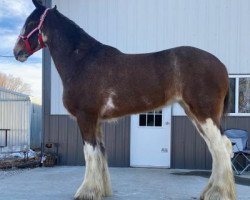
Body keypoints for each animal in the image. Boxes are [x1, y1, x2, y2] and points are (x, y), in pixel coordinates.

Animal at [14, 0, 236, 200]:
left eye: (31, 22)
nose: (17, 52)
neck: (83, 61)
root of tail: (221, 65)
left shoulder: (86, 117)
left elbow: (89, 153)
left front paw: (86, 192)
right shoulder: (97, 121)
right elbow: (100, 153)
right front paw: (101, 190)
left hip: (204, 114)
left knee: (221, 147)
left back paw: (218, 193)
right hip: (195, 114)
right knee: (216, 148)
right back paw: (209, 192)